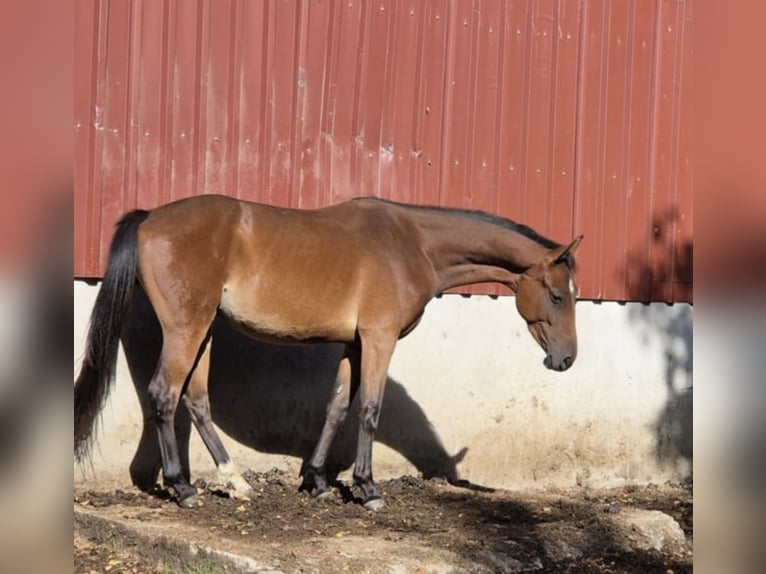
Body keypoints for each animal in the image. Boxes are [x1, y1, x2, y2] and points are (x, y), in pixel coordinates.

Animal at [74, 194, 583, 510]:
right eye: (558, 296)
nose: (566, 360)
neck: (411, 243)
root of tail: (150, 217)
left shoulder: (354, 344)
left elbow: (337, 407)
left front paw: (317, 481)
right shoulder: (378, 338)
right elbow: (370, 410)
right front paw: (367, 488)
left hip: (204, 332)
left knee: (196, 401)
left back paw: (235, 482)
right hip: (187, 329)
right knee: (164, 395)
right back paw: (182, 488)